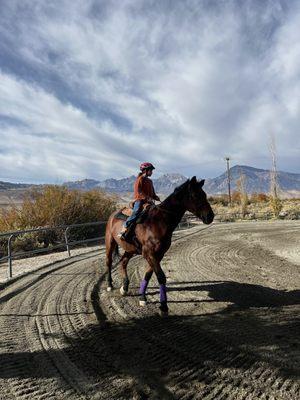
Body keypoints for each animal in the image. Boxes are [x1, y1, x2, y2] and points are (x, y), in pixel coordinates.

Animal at [104, 177, 214, 314]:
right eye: (195, 195)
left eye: (204, 195)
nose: (210, 216)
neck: (159, 222)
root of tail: (113, 214)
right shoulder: (149, 254)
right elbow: (161, 277)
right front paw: (163, 305)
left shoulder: (158, 254)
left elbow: (148, 274)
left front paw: (142, 297)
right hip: (110, 243)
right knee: (109, 262)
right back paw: (109, 285)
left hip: (130, 249)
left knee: (123, 262)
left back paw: (124, 287)